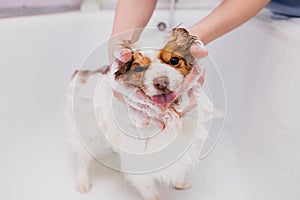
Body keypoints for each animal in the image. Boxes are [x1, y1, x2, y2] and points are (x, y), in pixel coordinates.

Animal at [65, 28, 217, 200]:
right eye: (139, 69)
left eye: (174, 60)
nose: (161, 82)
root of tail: (80, 75)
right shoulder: (140, 163)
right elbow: (151, 191)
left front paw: (179, 183)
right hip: (88, 136)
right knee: (82, 160)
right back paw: (83, 182)